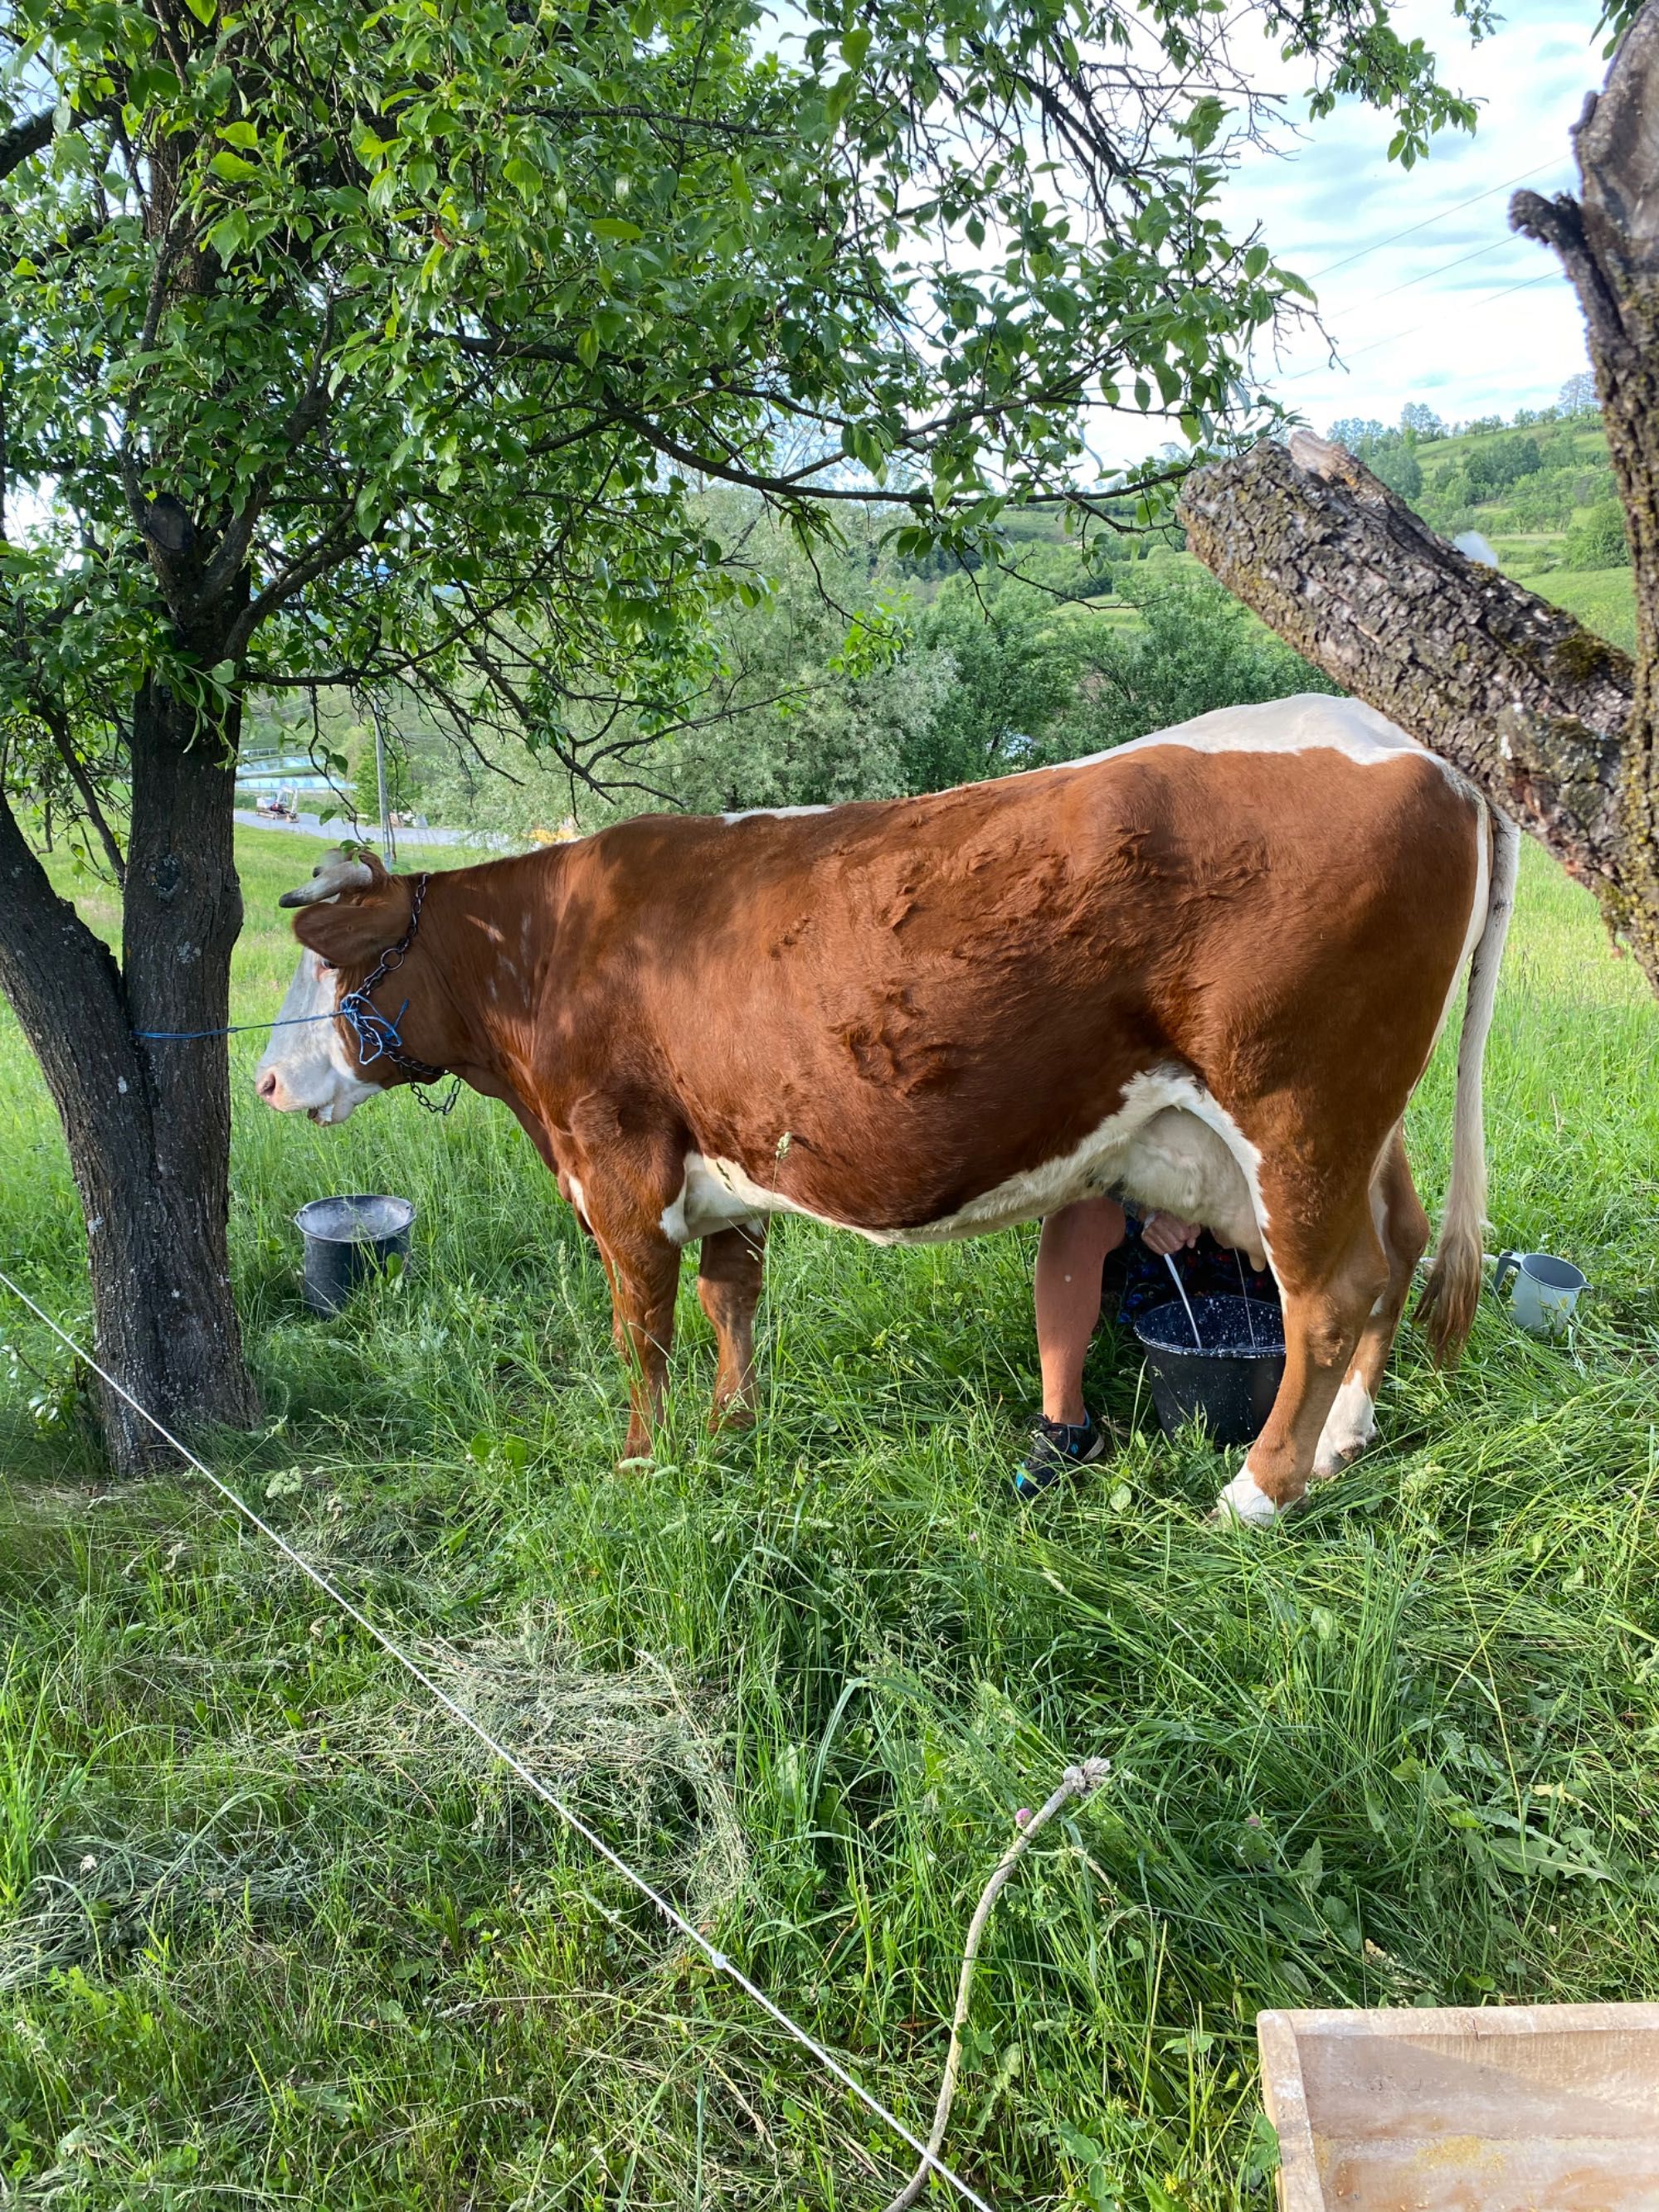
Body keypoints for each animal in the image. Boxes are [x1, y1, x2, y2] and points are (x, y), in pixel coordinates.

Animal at [253, 694, 1513, 1521]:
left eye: (331, 961)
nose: (263, 1080)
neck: (553, 945)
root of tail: (1411, 746)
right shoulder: (725, 1158)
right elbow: (729, 1302)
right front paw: (731, 1430)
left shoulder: (616, 1162)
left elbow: (642, 1328)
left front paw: (640, 1462)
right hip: (1360, 1117)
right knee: (1397, 1244)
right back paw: (1344, 1438)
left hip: (1296, 1107)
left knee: (1329, 1291)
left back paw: (1257, 1489)